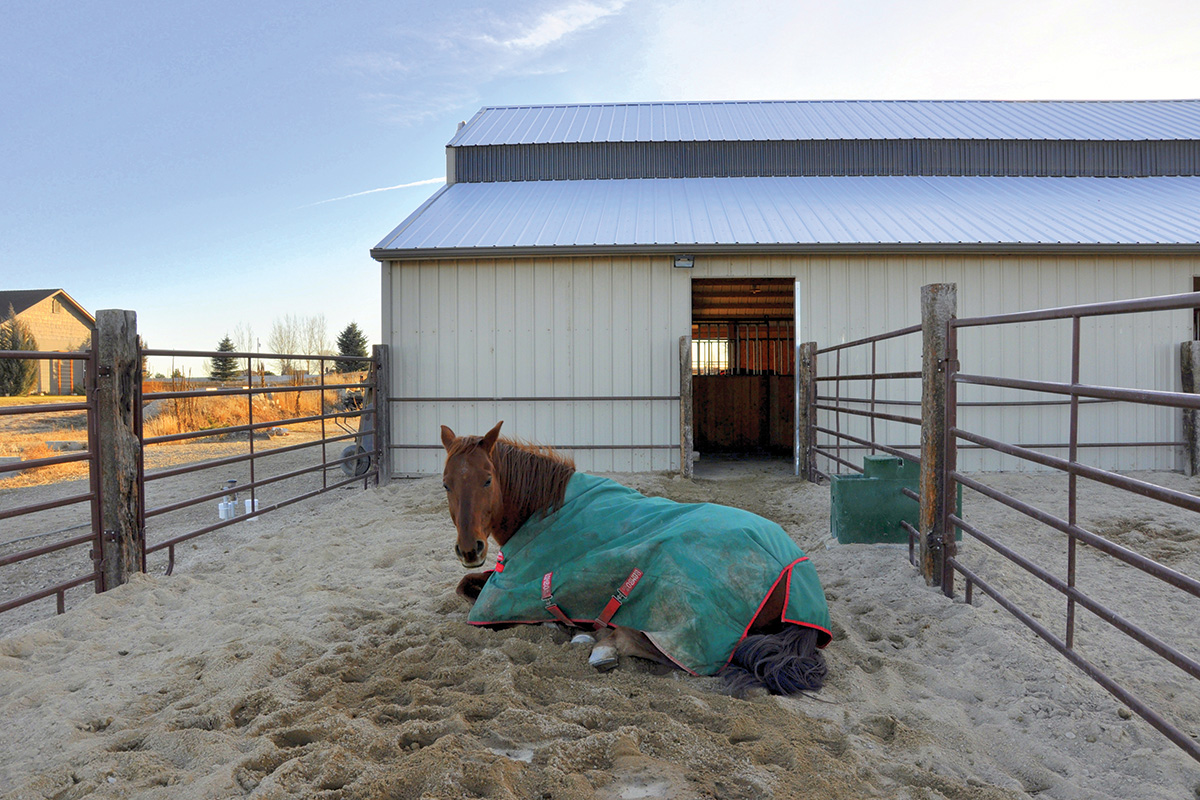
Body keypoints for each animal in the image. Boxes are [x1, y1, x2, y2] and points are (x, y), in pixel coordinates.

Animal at [444, 419, 835, 695]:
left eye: (488, 480)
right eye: (446, 483)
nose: (469, 549)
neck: (543, 508)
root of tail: (796, 568)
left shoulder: (507, 592)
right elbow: (464, 583)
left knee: (645, 643)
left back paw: (597, 644)